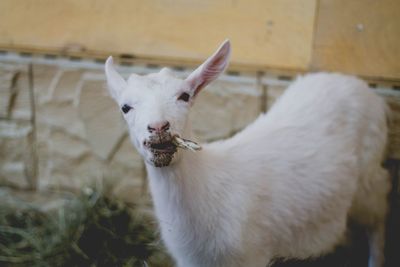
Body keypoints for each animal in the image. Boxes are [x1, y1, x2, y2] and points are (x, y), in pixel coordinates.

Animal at [104, 40, 390, 267]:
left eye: (185, 96)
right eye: (125, 107)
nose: (159, 127)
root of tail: (352, 80)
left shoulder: (251, 254)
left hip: (369, 176)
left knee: (379, 218)